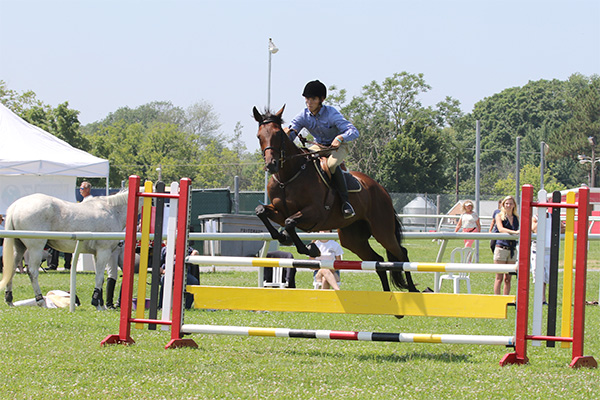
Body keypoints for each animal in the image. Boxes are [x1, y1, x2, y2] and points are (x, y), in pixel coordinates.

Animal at [0, 190, 131, 306]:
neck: (112, 211)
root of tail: (16, 206)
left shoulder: (96, 253)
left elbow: (100, 277)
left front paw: (100, 304)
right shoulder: (104, 251)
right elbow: (99, 277)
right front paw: (95, 301)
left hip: (19, 247)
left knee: (11, 269)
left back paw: (9, 299)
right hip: (35, 249)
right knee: (32, 272)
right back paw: (40, 300)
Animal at [252, 104, 418, 292]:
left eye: (278, 134)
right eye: (259, 136)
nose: (271, 165)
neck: (289, 176)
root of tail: (381, 189)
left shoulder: (315, 213)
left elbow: (290, 222)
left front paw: (311, 249)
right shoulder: (279, 211)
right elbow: (261, 211)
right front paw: (283, 237)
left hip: (382, 231)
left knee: (401, 254)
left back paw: (412, 290)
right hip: (353, 239)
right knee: (378, 261)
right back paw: (386, 295)